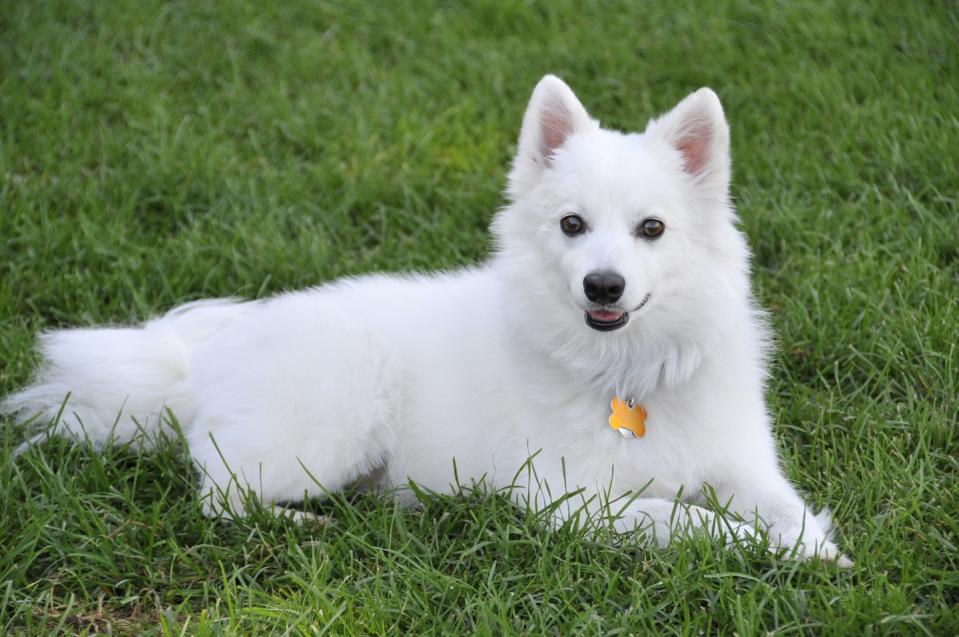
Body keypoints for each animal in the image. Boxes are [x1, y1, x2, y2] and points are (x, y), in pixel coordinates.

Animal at [5, 76, 848, 560]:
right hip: (333, 427)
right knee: (219, 497)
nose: (602, 286)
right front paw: (770, 547)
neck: (627, 372)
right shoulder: (572, 501)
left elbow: (784, 506)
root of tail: (199, 365)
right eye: (573, 225)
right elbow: (689, 520)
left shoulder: (744, 465)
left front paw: (808, 542)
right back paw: (301, 525)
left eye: (652, 229)